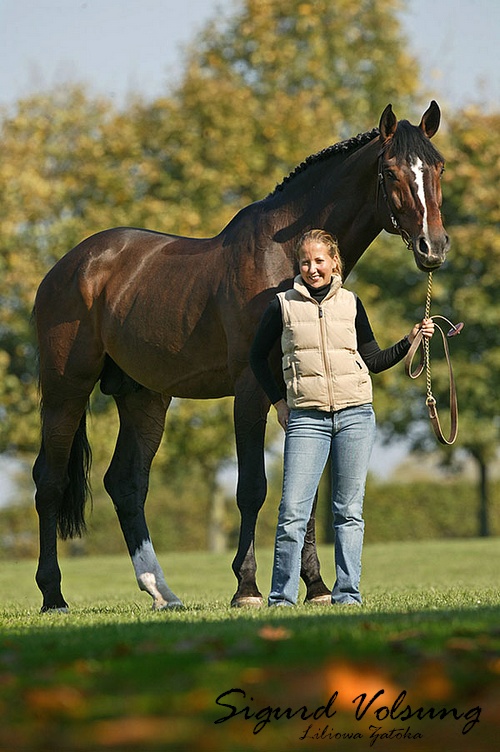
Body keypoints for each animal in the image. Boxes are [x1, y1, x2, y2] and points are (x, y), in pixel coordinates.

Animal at [32, 101, 449, 612]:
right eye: (390, 171)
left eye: (438, 166)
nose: (433, 248)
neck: (286, 262)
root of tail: (67, 267)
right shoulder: (250, 391)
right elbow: (252, 489)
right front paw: (247, 587)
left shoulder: (296, 397)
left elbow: (305, 488)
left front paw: (316, 587)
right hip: (65, 391)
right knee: (50, 482)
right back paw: (54, 594)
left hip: (144, 397)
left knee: (126, 484)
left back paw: (161, 591)